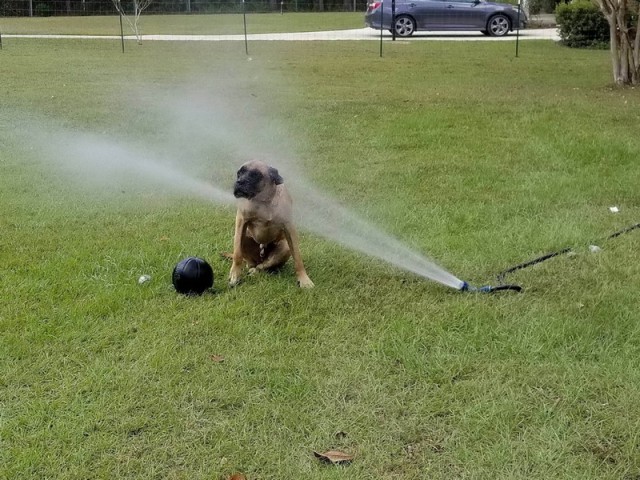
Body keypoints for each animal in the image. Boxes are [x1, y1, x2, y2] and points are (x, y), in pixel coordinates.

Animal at [228, 160, 316, 288]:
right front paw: (235, 275)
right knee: (251, 262)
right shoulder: (241, 221)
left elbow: (297, 257)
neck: (264, 201)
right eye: (239, 173)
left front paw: (304, 280)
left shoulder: (289, 226)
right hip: (243, 239)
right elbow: (237, 254)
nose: (239, 182)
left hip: (284, 248)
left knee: (263, 266)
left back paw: (256, 271)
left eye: (255, 175)